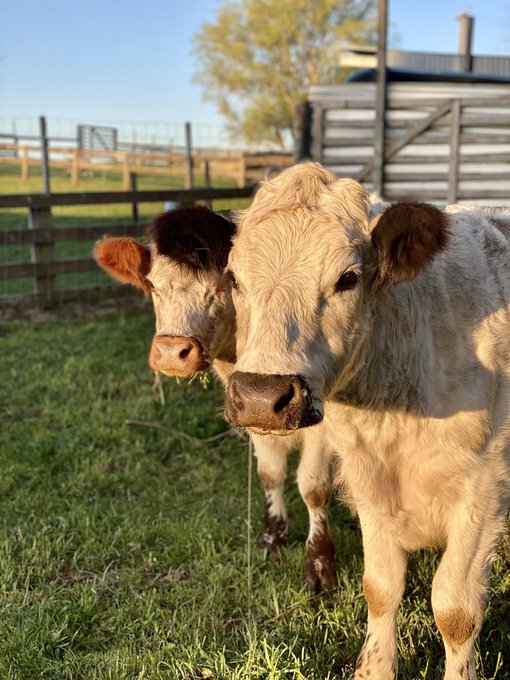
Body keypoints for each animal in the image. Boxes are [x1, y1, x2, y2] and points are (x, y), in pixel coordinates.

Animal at [94, 205, 338, 593]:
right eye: (152, 285)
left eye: (224, 285)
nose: (171, 352)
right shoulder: (251, 404)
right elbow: (270, 473)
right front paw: (272, 538)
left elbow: (313, 486)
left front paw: (319, 563)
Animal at [223, 162, 510, 680]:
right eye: (233, 276)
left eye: (348, 278)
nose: (259, 395)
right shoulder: (369, 483)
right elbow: (380, 587)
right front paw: (374, 668)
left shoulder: (485, 491)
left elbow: (455, 610)